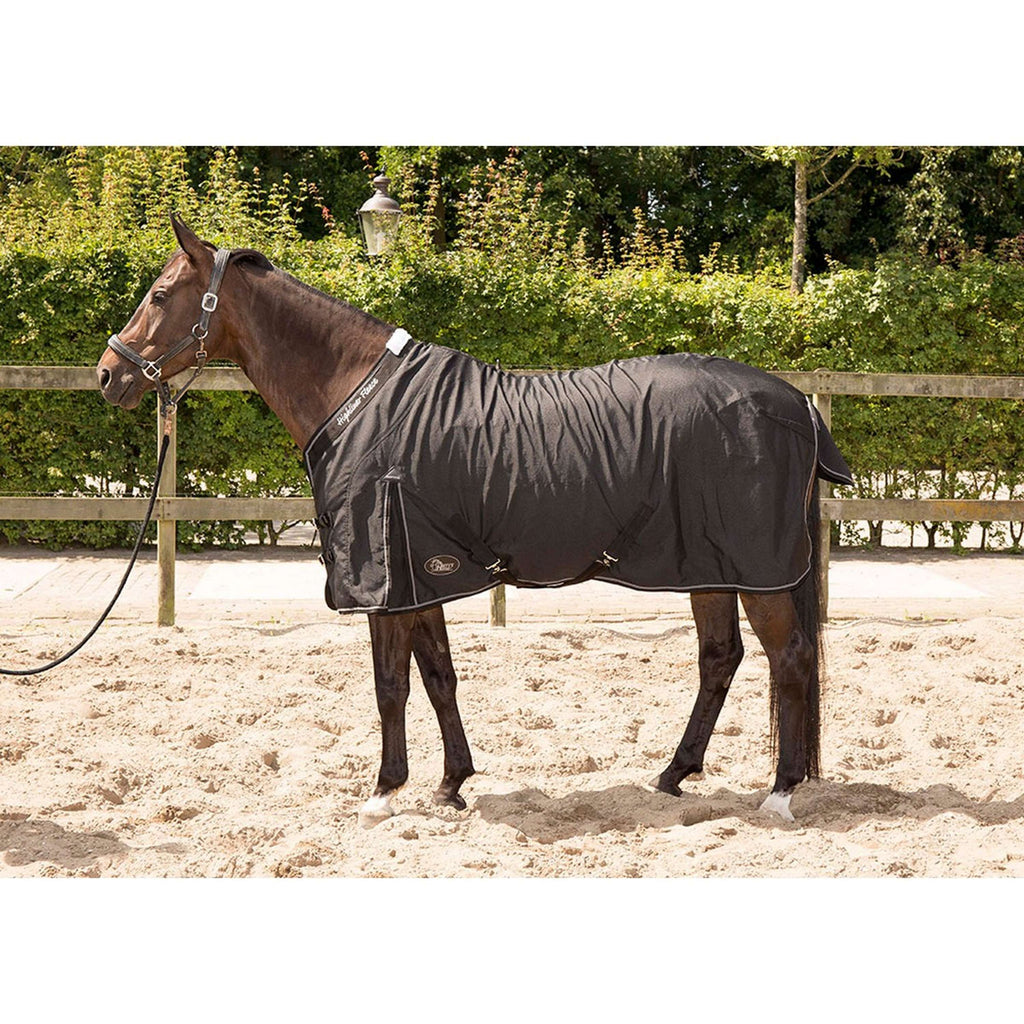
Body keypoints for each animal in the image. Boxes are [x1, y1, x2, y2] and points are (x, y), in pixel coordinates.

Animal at [97, 215, 853, 827]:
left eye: (159, 296)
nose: (109, 374)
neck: (359, 398)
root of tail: (795, 403)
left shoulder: (387, 580)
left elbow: (391, 686)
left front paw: (384, 793)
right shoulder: (420, 575)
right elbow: (438, 677)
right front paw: (450, 784)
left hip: (756, 571)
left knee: (789, 658)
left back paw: (780, 793)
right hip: (708, 565)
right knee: (720, 658)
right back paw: (673, 775)